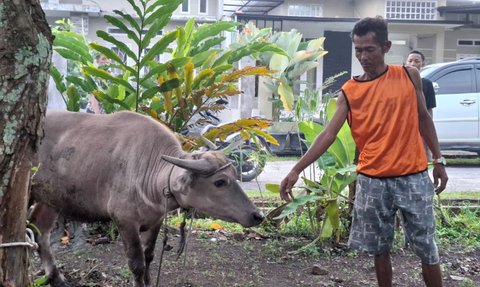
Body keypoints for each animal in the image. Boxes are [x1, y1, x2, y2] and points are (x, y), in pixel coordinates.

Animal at [30, 111, 264, 287]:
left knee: (40, 231)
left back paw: (57, 278)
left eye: (234, 174)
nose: (258, 215)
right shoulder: (125, 221)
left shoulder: (155, 220)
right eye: (220, 182)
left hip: (49, 199)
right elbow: (137, 264)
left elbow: (149, 257)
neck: (151, 174)